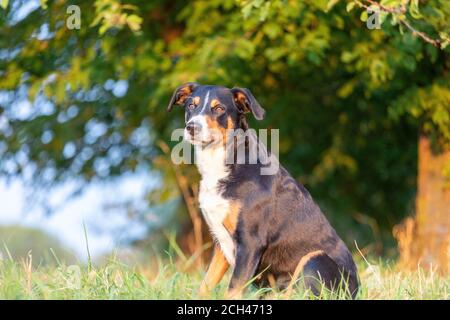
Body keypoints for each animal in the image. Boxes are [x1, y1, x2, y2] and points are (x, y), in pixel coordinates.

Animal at [167, 83, 360, 300]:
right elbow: (205, 285)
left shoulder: (250, 242)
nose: (192, 127)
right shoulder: (220, 243)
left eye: (219, 108)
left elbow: (233, 289)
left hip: (314, 259)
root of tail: (356, 290)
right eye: (191, 105)